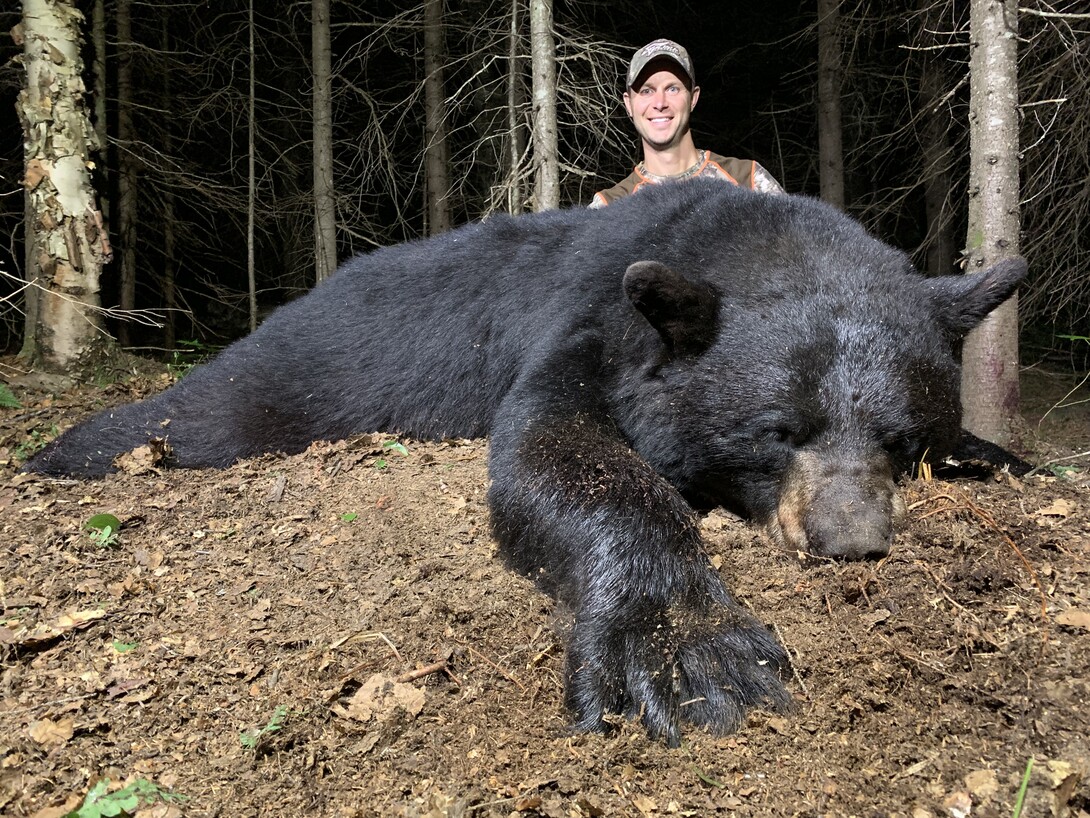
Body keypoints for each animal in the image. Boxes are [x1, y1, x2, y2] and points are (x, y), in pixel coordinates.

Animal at [27, 182, 1028, 746]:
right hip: (287, 380)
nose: (849, 540)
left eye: (902, 436)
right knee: (194, 411)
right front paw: (687, 650)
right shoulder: (590, 323)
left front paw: (997, 456)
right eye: (779, 429)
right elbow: (556, 452)